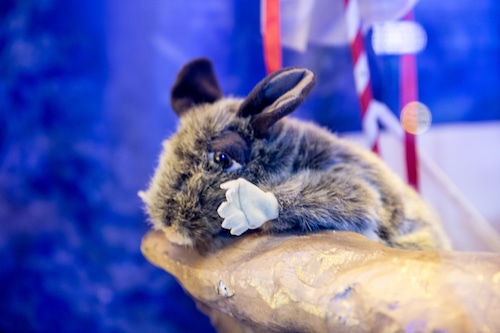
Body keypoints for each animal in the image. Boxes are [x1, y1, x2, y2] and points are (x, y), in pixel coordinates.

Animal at [139, 57, 452, 250]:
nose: (168, 224)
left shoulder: (352, 179)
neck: (286, 152)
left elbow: (357, 195)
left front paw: (247, 204)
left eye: (223, 158)